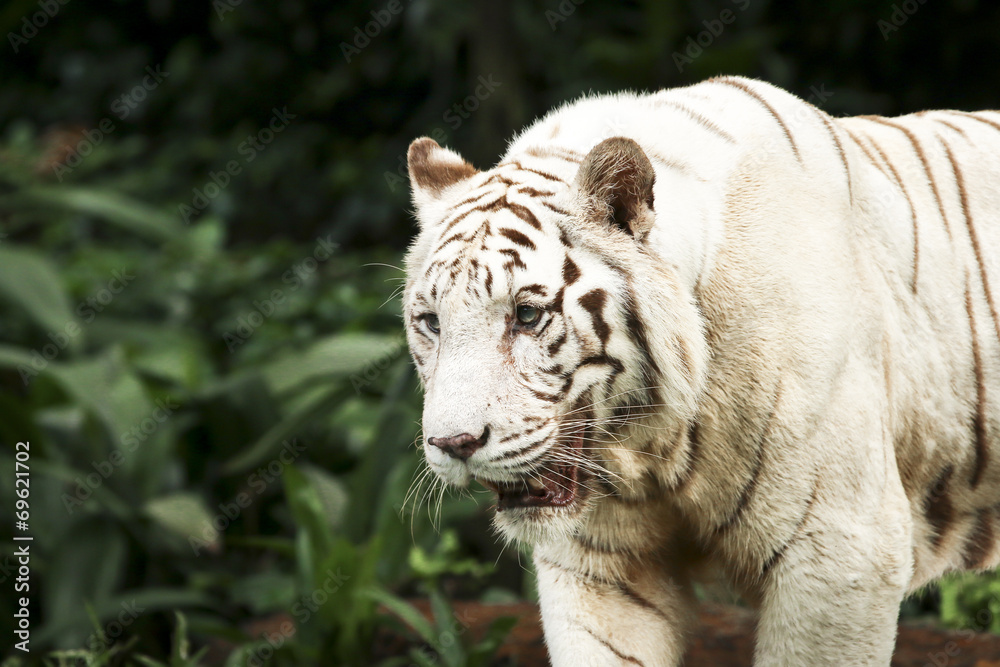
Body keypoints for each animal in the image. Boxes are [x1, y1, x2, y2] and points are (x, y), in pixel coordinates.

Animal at [401, 75, 1000, 666]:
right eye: (432, 322)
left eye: (526, 315)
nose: (453, 444)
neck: (651, 442)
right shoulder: (602, 564)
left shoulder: (841, 550)